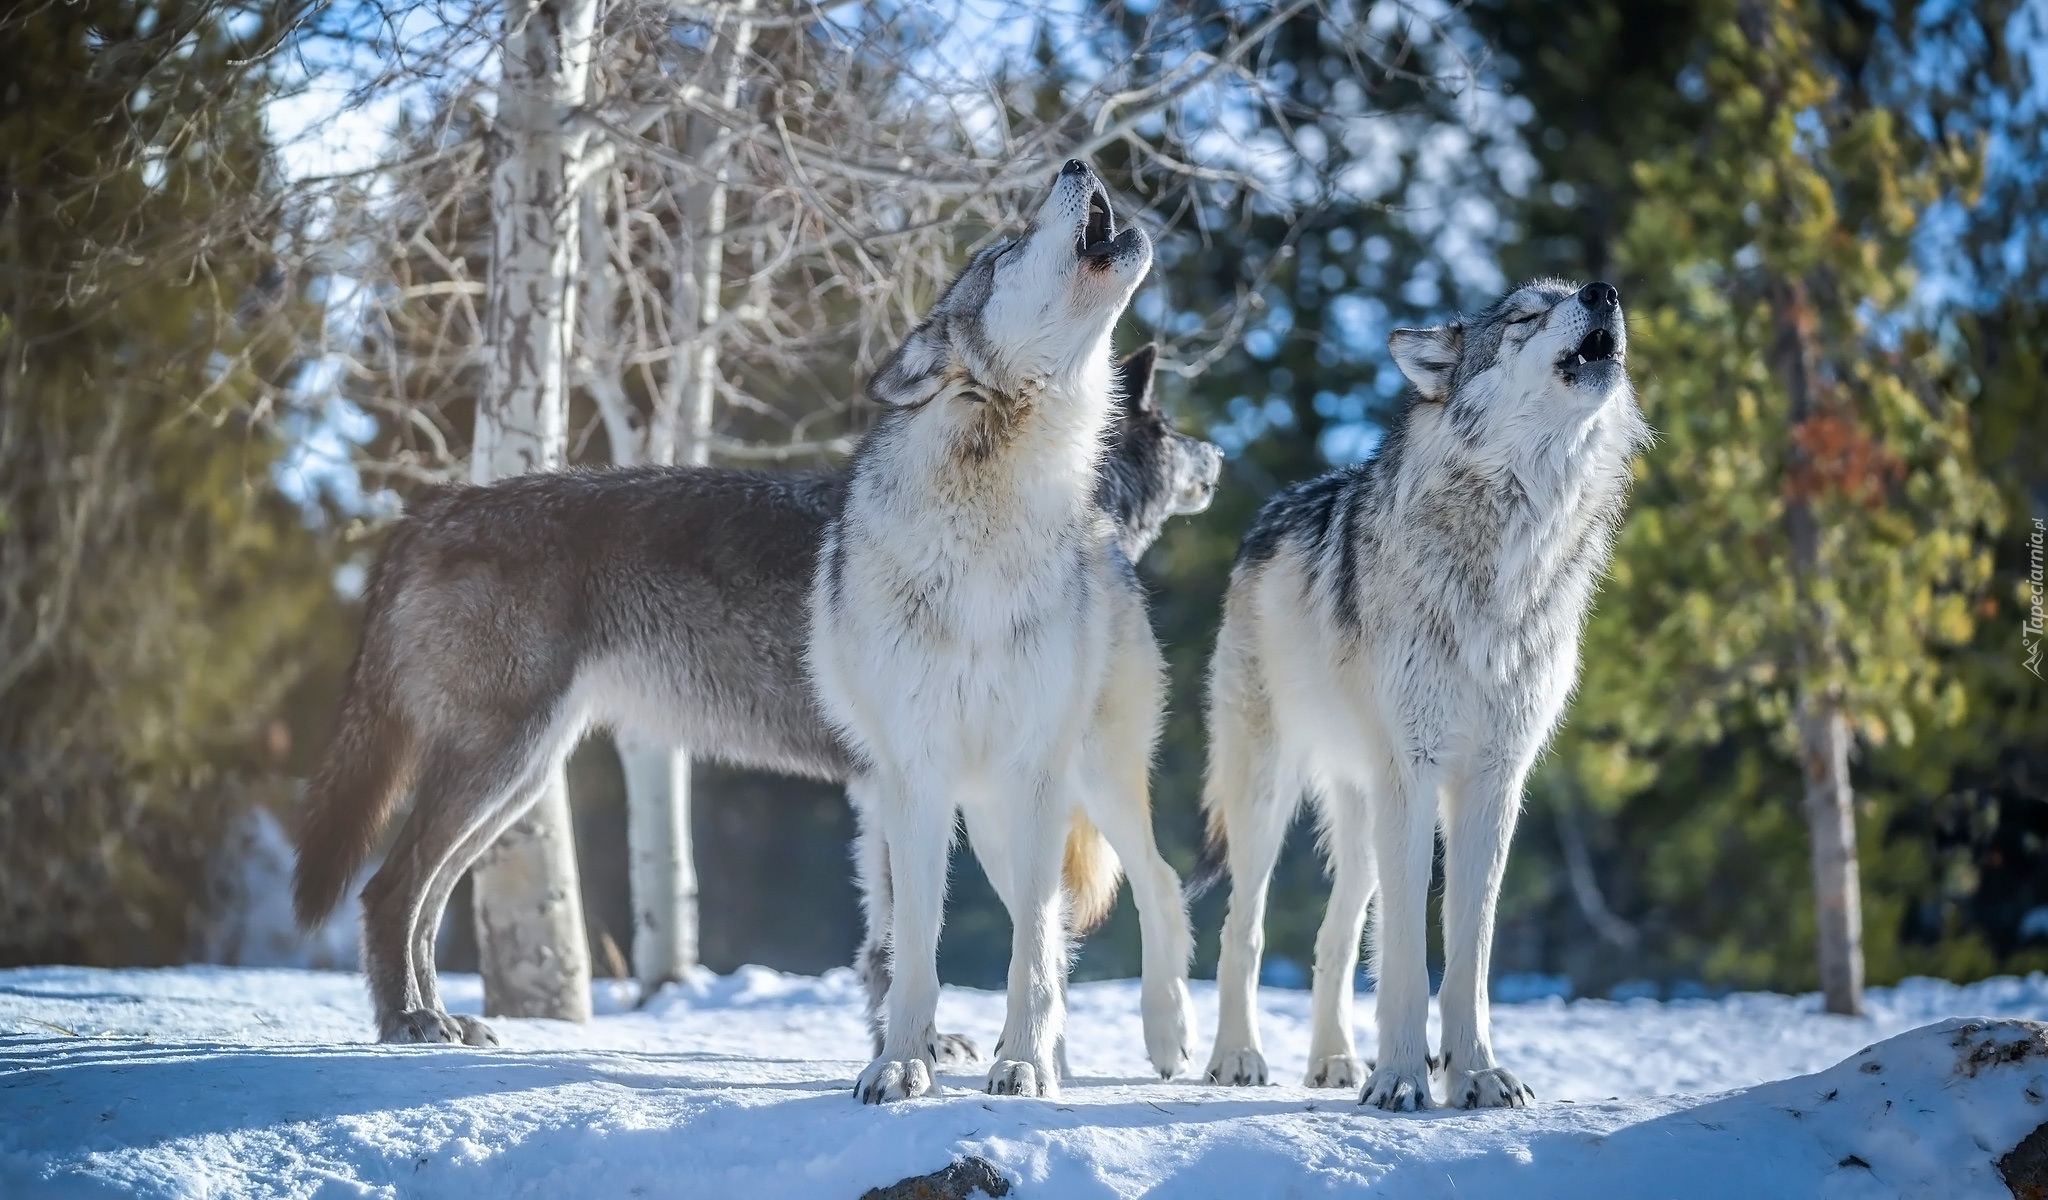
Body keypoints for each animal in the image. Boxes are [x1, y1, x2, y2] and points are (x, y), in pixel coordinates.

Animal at [288, 344, 1212, 1048]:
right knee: (388, 891)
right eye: (1170, 429)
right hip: (499, 766)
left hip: (519, 781)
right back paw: (409, 1022)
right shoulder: (900, 782)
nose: (1220, 455)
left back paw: (441, 1018)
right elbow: (901, 940)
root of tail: (425, 515)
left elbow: (887, 939)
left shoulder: (885, 791)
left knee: (423, 900)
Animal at [798, 160, 1196, 1105]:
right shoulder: (916, 779)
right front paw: (900, 1064)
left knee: (1153, 888)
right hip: (985, 822)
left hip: (1090, 779)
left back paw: (1161, 1037)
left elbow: (1033, 953)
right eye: (1002, 252)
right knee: (1053, 926)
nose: (1076, 163)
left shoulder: (1037, 769)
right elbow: (917, 953)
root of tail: (1110, 535)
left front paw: (1019, 1065)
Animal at [1196, 278, 1646, 1105]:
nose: (1604, 290)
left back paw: (1336, 1060)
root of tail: (1266, 518)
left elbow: (1470, 951)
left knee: (1334, 936)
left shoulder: (1494, 782)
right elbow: (1407, 951)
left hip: (1361, 809)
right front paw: (1404, 1080)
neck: (1509, 556)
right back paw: (1240, 1057)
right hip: (1269, 795)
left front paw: (1477, 1075)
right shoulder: (1414, 772)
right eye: (1525, 315)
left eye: (1573, 292)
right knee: (1243, 927)